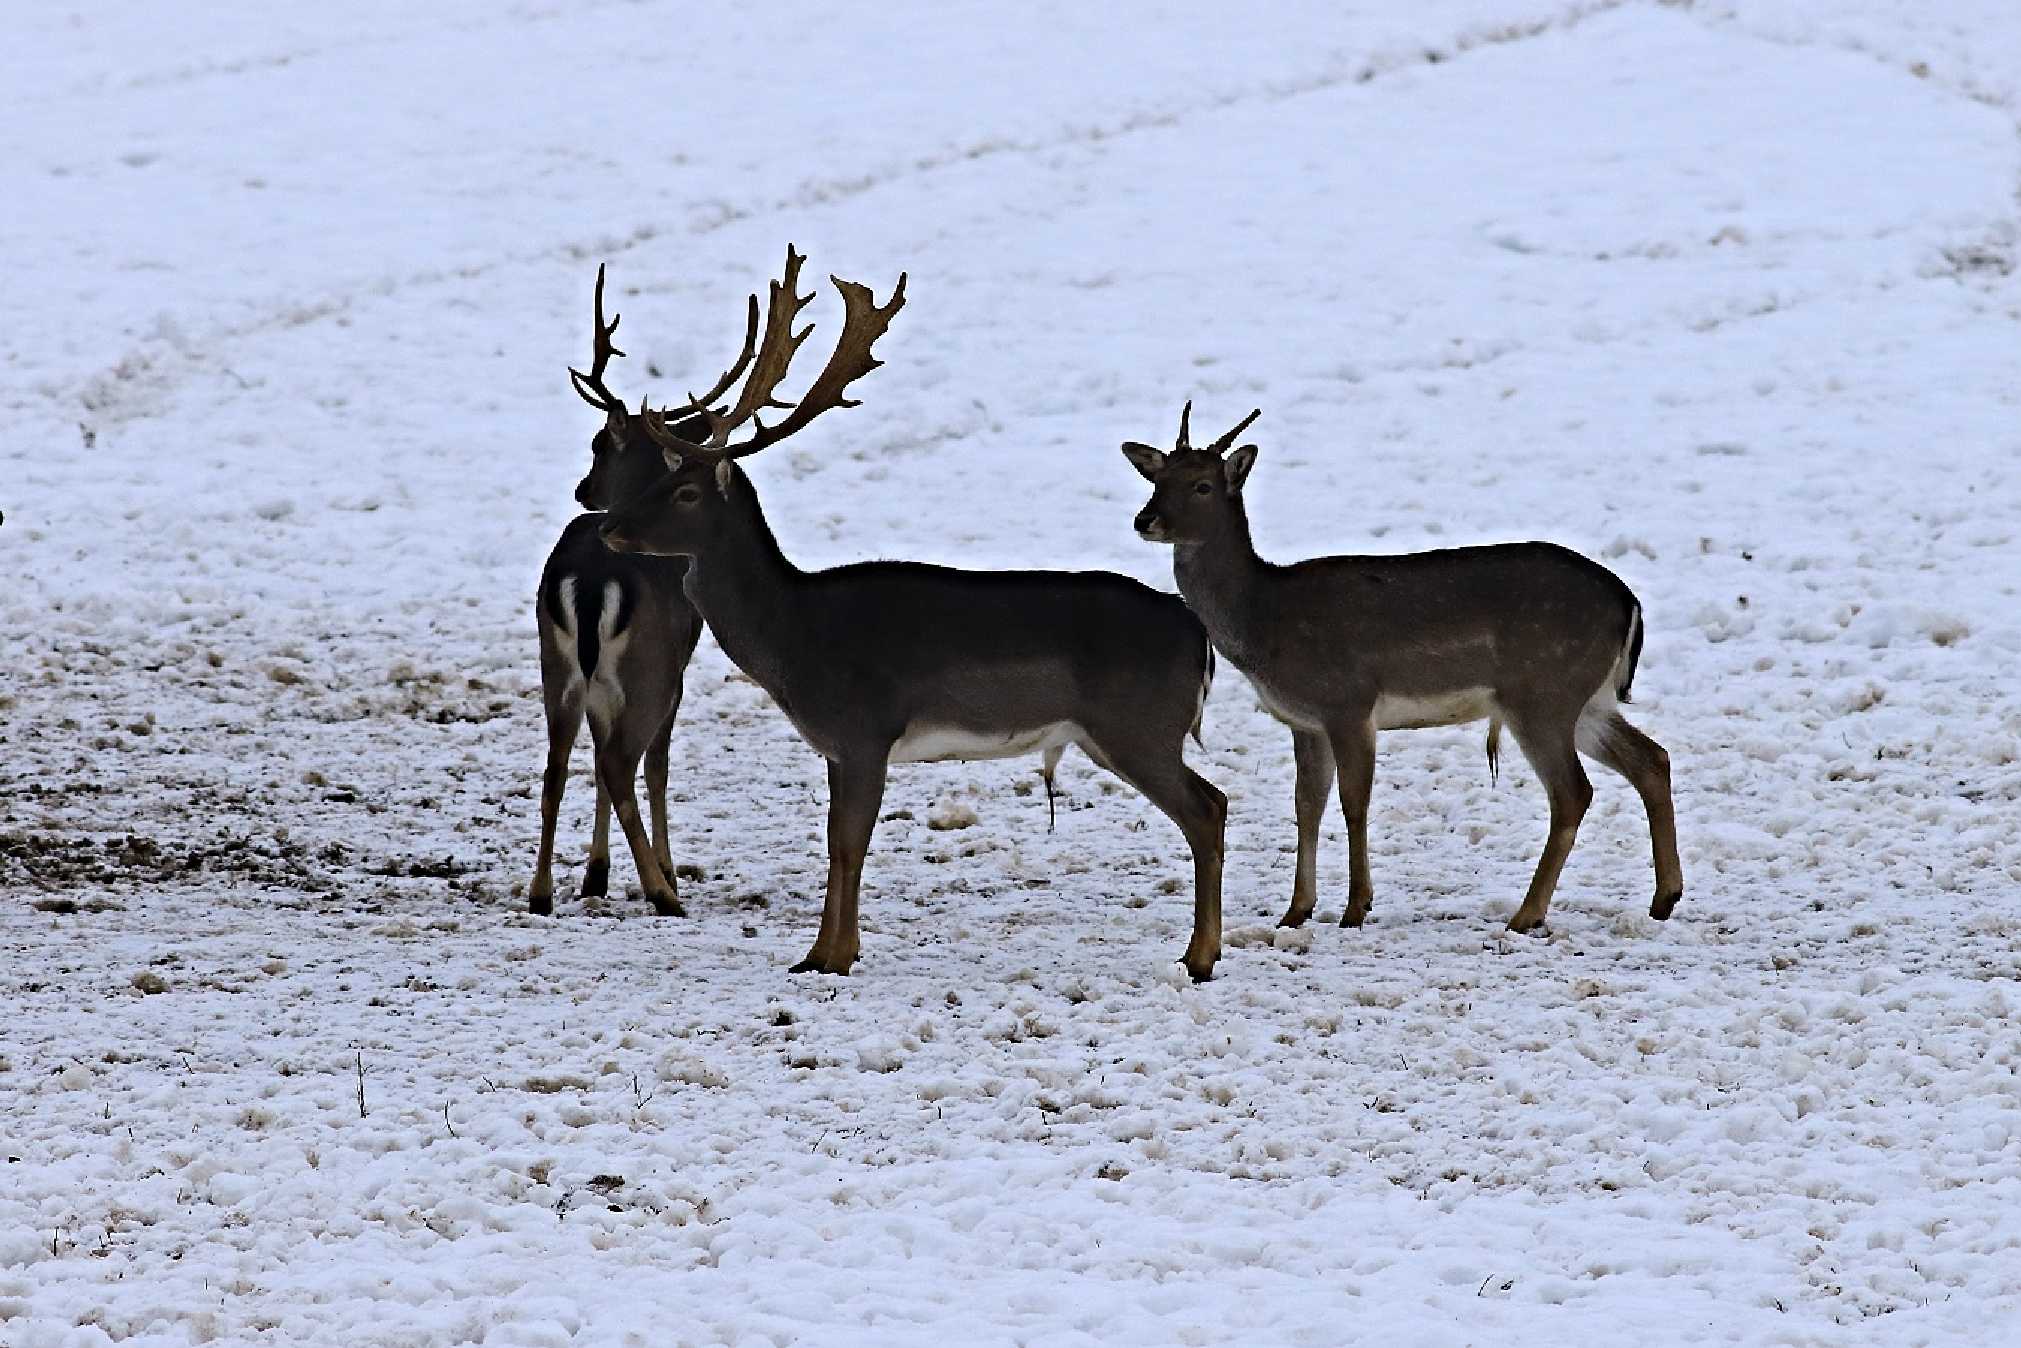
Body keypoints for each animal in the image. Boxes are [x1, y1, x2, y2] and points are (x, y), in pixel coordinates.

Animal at [529, 262, 759, 917]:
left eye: (596, 446)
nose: (583, 490)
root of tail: (589, 584)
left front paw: (595, 874)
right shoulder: (675, 666)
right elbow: (657, 765)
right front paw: (662, 870)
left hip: (556, 664)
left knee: (559, 765)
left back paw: (539, 893)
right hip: (646, 666)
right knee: (621, 761)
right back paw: (662, 892)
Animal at [594, 245, 1228, 982]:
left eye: (687, 491)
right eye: (660, 477)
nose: (609, 527)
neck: (795, 637)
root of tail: (1196, 633)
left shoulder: (864, 727)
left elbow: (848, 843)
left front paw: (833, 956)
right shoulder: (839, 746)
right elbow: (836, 842)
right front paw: (821, 954)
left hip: (1138, 724)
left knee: (1206, 808)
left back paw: (1200, 956)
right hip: (1118, 732)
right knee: (1212, 802)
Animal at [1131, 404, 1681, 937]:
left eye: (1202, 485)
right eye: (1157, 479)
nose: (1145, 520)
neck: (1265, 619)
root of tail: (1628, 602)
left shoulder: (1348, 702)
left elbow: (1354, 803)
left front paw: (1356, 908)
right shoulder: (1305, 721)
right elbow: (1306, 805)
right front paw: (1296, 911)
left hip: (1542, 694)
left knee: (1573, 793)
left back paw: (1527, 915)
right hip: (1587, 700)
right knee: (1651, 759)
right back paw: (1663, 898)